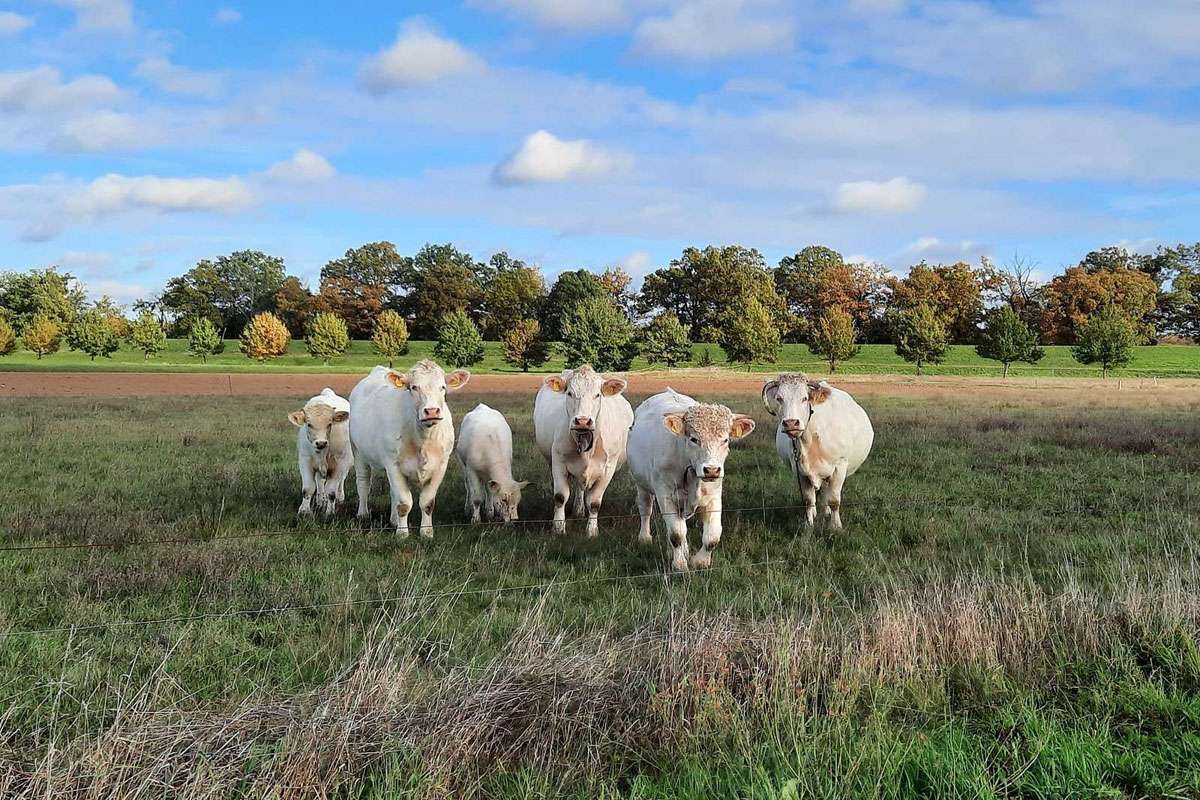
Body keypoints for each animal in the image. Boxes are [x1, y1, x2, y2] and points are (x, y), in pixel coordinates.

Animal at [348, 362, 468, 537]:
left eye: (443, 387)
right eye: (414, 387)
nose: (432, 411)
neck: (423, 439)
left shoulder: (441, 465)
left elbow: (427, 502)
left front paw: (426, 531)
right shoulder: (392, 464)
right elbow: (404, 503)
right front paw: (402, 533)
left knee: (393, 492)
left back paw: (393, 519)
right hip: (358, 451)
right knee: (363, 483)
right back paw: (363, 514)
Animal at [532, 369, 633, 537]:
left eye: (597, 394)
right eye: (570, 393)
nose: (583, 421)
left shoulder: (609, 468)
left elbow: (594, 502)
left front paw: (592, 531)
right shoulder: (558, 461)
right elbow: (560, 496)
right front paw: (558, 527)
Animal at [624, 386, 753, 568]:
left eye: (726, 440)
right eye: (693, 439)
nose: (711, 470)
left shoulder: (714, 496)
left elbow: (712, 536)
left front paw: (700, 561)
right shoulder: (665, 495)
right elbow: (676, 534)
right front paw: (679, 565)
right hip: (641, 484)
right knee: (645, 508)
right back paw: (645, 537)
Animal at [763, 376, 878, 532]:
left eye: (805, 398)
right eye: (779, 398)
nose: (791, 423)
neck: (810, 439)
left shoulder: (839, 467)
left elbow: (834, 500)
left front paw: (836, 526)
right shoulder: (800, 472)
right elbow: (808, 500)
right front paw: (808, 525)